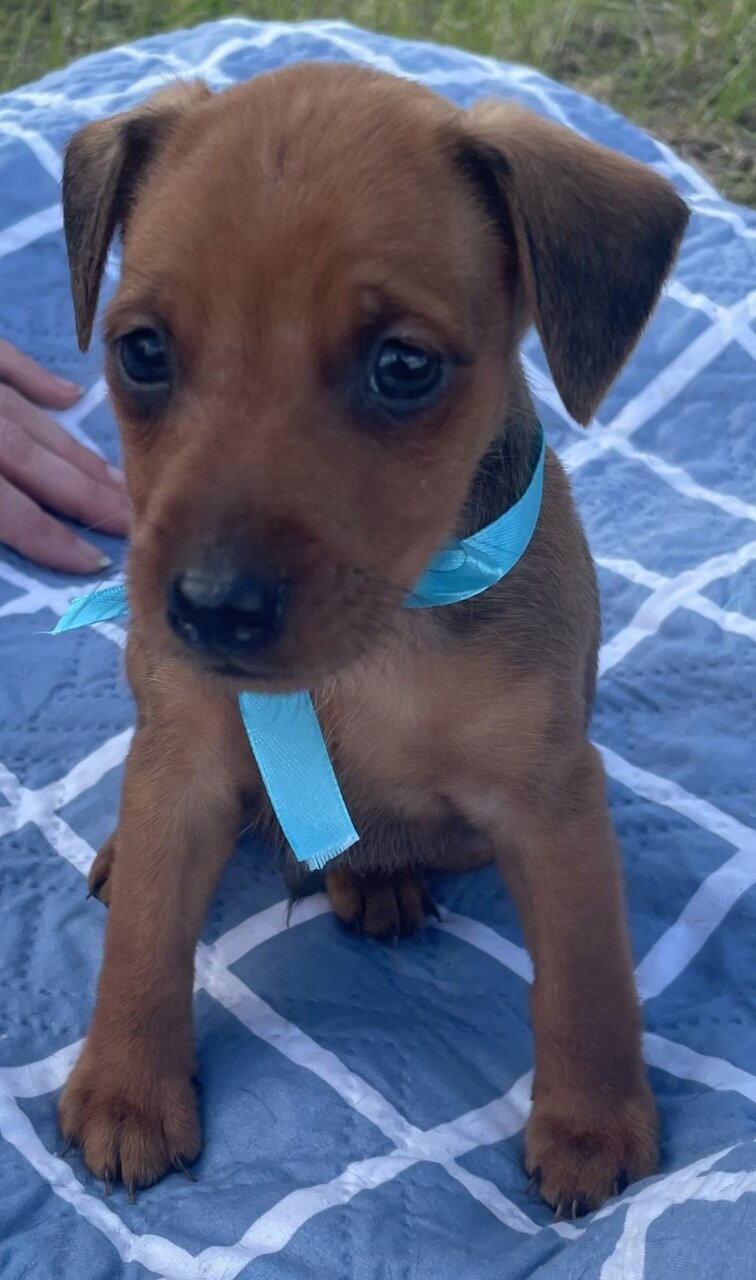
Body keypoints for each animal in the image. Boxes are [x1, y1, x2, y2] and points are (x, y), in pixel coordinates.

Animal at [57, 62, 688, 1214]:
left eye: (403, 366)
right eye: (141, 351)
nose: (211, 607)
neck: (375, 645)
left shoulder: (551, 804)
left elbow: (586, 974)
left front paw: (592, 1118)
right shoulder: (186, 761)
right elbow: (143, 946)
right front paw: (128, 1086)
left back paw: (381, 875)